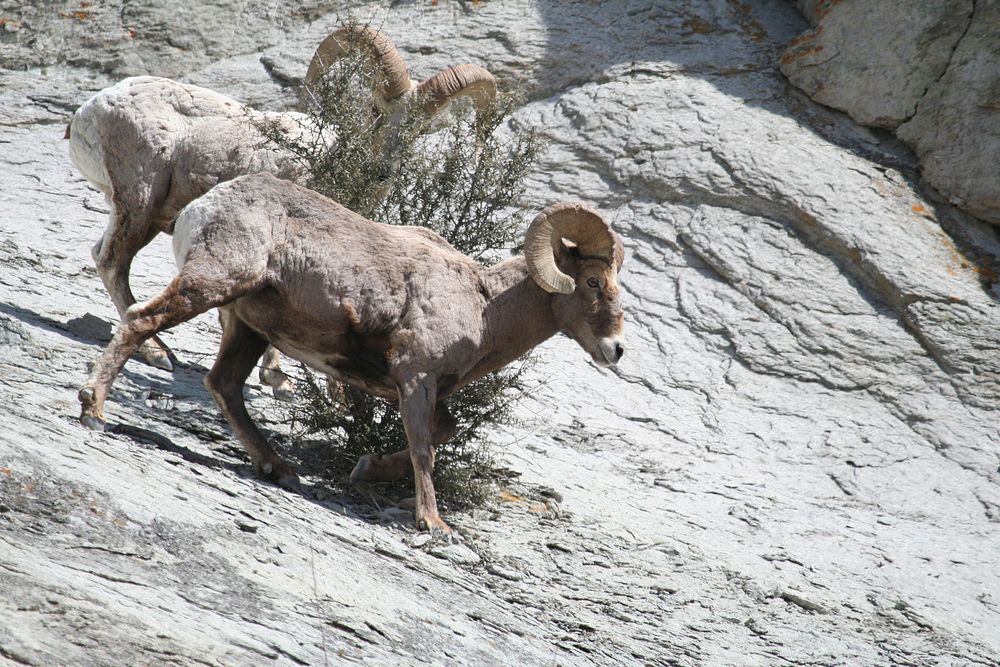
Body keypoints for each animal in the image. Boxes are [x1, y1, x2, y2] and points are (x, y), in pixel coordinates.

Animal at [66, 24, 496, 402]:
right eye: (376, 109)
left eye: (416, 132)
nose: (382, 169)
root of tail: (87, 113)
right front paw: (280, 380)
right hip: (139, 201)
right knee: (112, 262)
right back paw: (158, 354)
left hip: (150, 216)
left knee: (104, 256)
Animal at [78, 172, 624, 532]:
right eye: (593, 282)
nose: (616, 350)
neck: (483, 304)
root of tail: (203, 207)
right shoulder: (415, 377)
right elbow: (425, 448)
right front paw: (433, 524)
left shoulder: (422, 389)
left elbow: (440, 434)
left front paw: (367, 469)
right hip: (212, 285)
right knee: (142, 322)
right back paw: (94, 409)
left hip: (248, 327)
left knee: (224, 384)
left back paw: (279, 468)